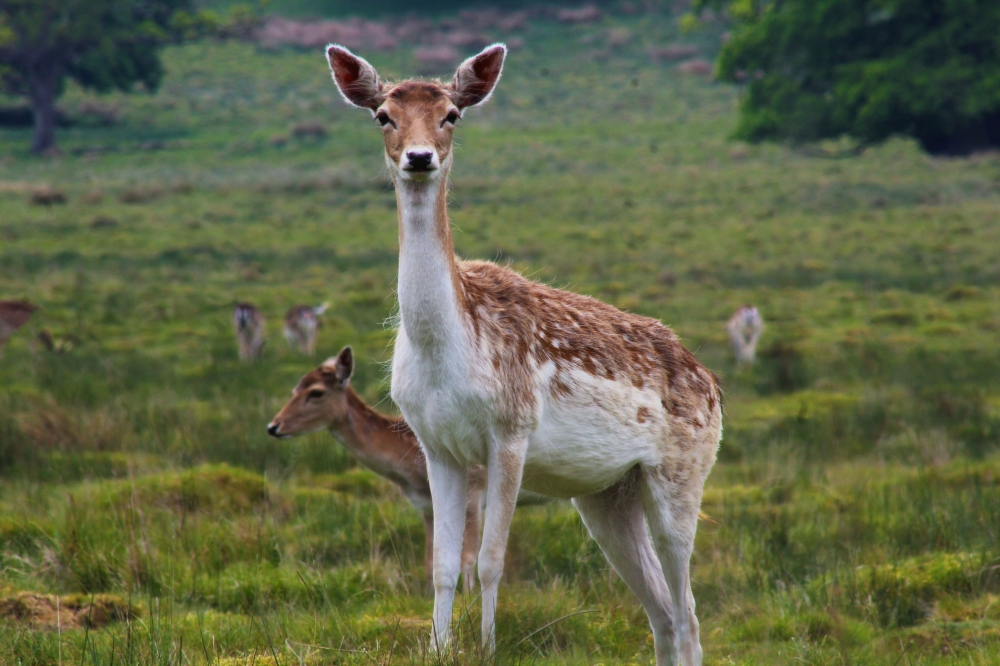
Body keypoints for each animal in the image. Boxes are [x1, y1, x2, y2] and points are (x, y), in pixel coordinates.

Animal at [266, 344, 484, 588]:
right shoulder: (426, 506)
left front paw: (468, 596)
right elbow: (430, 562)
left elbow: (467, 560)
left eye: (316, 392)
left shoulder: (474, 494)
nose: (274, 426)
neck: (413, 472)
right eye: (295, 389)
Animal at [326, 42, 720, 664]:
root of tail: (713, 384)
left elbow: (490, 561)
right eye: (383, 116)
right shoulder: (435, 445)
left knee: (688, 610)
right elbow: (442, 566)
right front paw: (439, 646)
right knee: (660, 608)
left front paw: (487, 646)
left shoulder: (510, 429)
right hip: (606, 495)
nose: (419, 157)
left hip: (683, 472)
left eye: (451, 115)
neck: (448, 352)